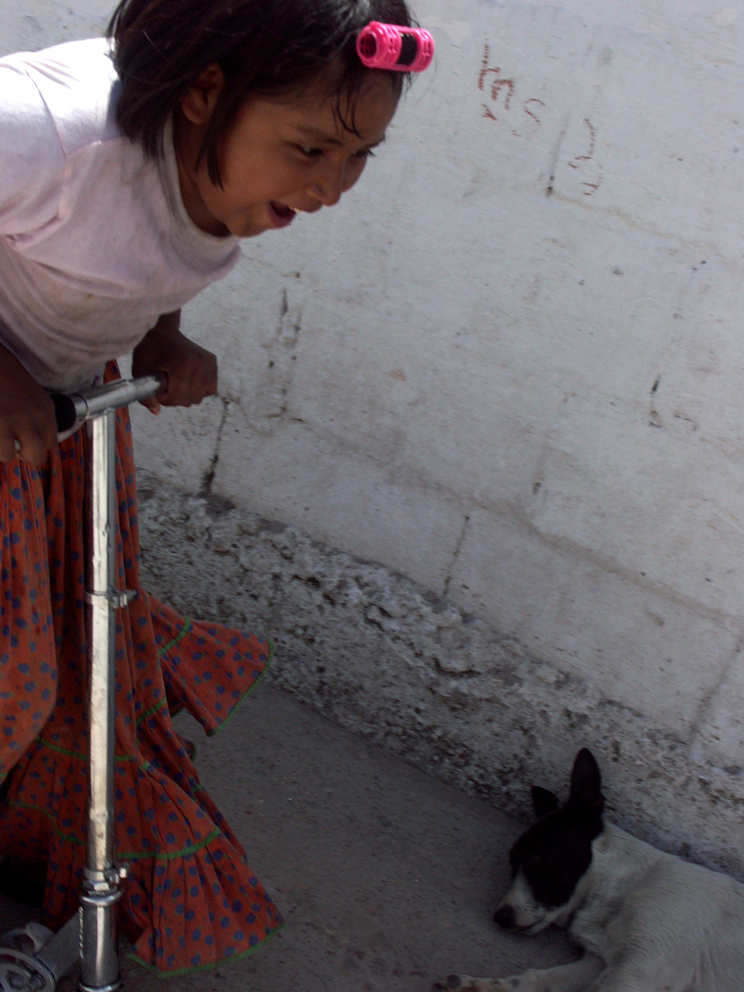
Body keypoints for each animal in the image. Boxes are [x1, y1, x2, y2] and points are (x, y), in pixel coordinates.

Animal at [436, 752, 744, 992]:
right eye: (512, 865)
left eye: (536, 859)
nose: (500, 917)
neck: (626, 889)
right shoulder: (600, 961)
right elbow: (537, 979)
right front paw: (481, 985)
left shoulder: (637, 971)